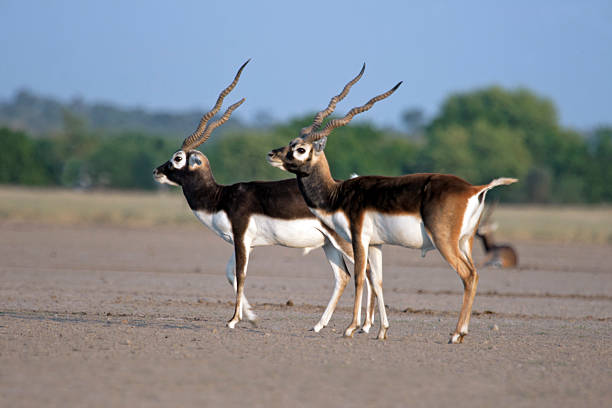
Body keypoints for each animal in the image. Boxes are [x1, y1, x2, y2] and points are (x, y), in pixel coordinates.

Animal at [152, 62, 378, 334]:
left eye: (177, 158)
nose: (156, 171)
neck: (221, 197)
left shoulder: (240, 237)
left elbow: (241, 275)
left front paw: (233, 320)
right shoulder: (245, 242)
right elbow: (230, 273)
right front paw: (251, 318)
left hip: (344, 241)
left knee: (367, 271)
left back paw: (365, 326)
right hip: (328, 244)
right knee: (343, 276)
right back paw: (319, 325)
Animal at [266, 65, 516, 342]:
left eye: (300, 149)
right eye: (291, 143)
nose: (272, 154)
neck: (337, 194)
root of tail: (475, 189)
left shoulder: (358, 238)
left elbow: (359, 278)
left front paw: (351, 328)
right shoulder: (377, 244)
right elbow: (378, 282)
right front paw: (382, 330)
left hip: (444, 242)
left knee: (468, 275)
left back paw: (456, 334)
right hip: (466, 242)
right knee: (474, 273)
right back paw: (459, 333)